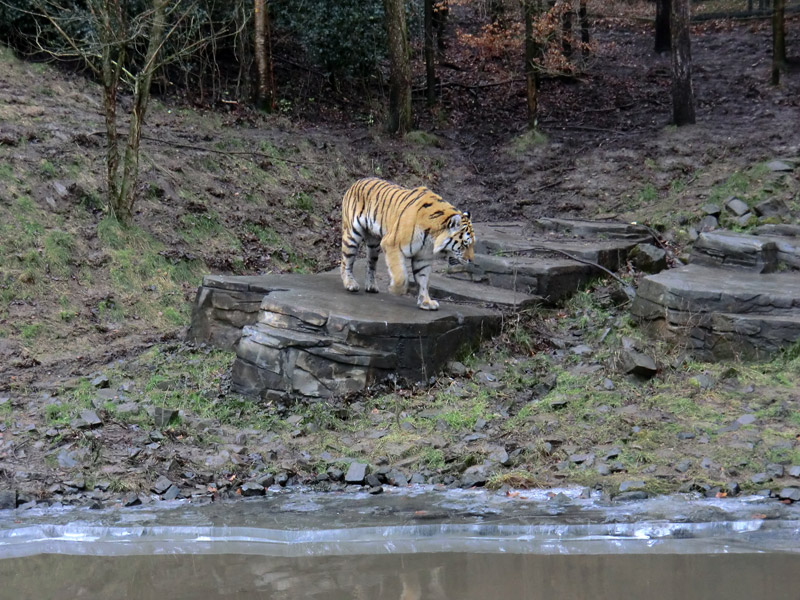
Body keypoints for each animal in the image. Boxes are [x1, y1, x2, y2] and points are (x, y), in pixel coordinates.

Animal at [340, 177, 476, 310]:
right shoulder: (392, 245)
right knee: (346, 261)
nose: (471, 260)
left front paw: (426, 302)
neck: (432, 237)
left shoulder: (423, 256)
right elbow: (400, 276)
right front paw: (395, 289)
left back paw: (371, 286)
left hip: (373, 244)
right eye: (465, 244)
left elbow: (423, 279)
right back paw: (350, 284)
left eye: (472, 244)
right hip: (352, 235)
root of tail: (357, 181)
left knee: (370, 263)